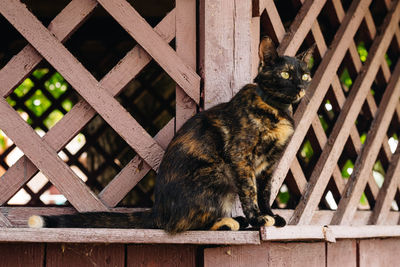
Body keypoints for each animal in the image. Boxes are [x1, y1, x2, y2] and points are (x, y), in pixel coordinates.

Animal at [29, 37, 314, 234]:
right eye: (285, 74)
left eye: (306, 75)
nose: (301, 86)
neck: (276, 109)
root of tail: (158, 211)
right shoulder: (241, 157)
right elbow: (250, 191)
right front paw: (257, 218)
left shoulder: (269, 165)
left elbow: (265, 191)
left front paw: (270, 215)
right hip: (215, 174)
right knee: (183, 225)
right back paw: (231, 222)